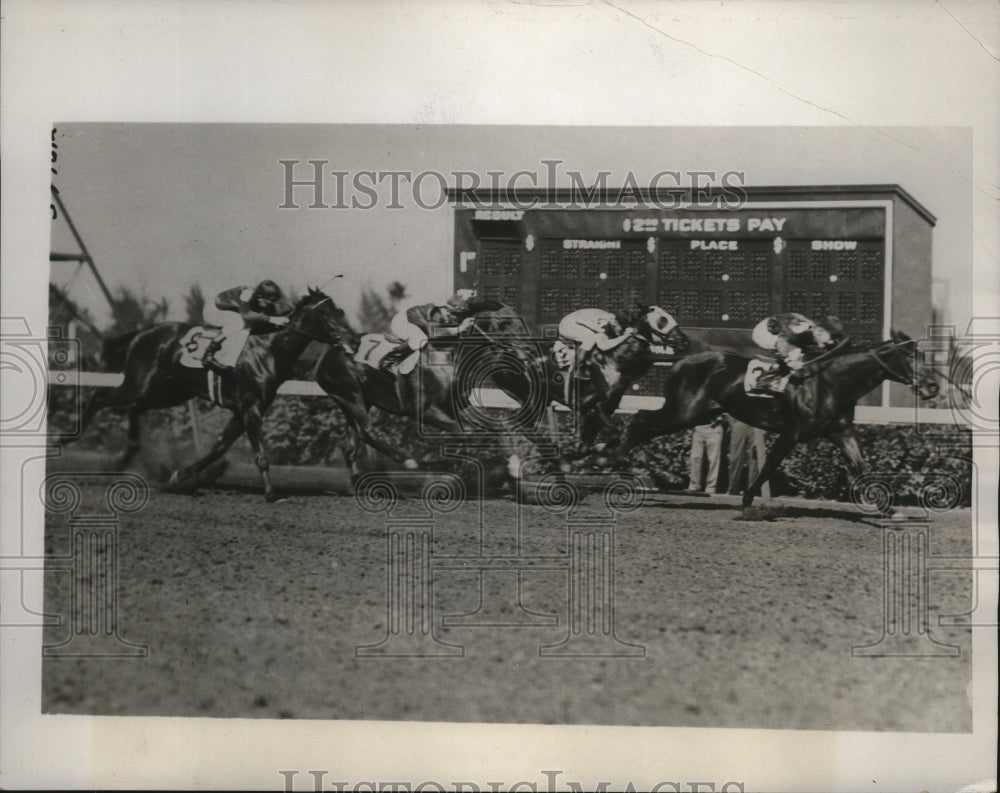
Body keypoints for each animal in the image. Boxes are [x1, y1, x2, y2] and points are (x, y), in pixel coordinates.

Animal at [83, 286, 356, 502]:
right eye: (326, 313)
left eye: (339, 310)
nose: (351, 339)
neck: (267, 350)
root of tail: (142, 332)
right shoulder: (250, 408)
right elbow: (260, 454)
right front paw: (271, 494)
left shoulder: (244, 410)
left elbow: (219, 447)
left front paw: (181, 476)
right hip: (139, 383)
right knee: (98, 397)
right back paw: (74, 439)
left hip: (168, 392)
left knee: (134, 407)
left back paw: (126, 456)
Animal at [604, 332, 940, 508]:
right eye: (911, 356)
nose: (933, 386)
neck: (831, 382)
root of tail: (683, 359)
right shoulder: (791, 433)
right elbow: (768, 467)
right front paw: (747, 500)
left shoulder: (841, 432)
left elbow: (863, 467)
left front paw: (889, 509)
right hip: (685, 411)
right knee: (641, 419)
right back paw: (611, 459)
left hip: (698, 413)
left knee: (644, 424)